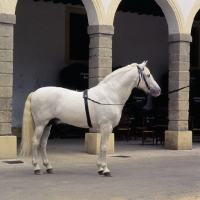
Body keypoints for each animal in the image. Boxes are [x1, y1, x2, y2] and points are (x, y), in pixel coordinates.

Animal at [19, 61, 161, 177]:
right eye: (148, 75)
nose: (158, 90)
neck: (109, 94)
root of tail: (35, 92)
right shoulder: (106, 126)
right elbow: (104, 147)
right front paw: (105, 170)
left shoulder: (104, 128)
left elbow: (101, 146)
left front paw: (100, 168)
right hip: (40, 124)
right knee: (35, 142)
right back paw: (37, 168)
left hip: (48, 124)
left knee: (43, 144)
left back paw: (48, 167)